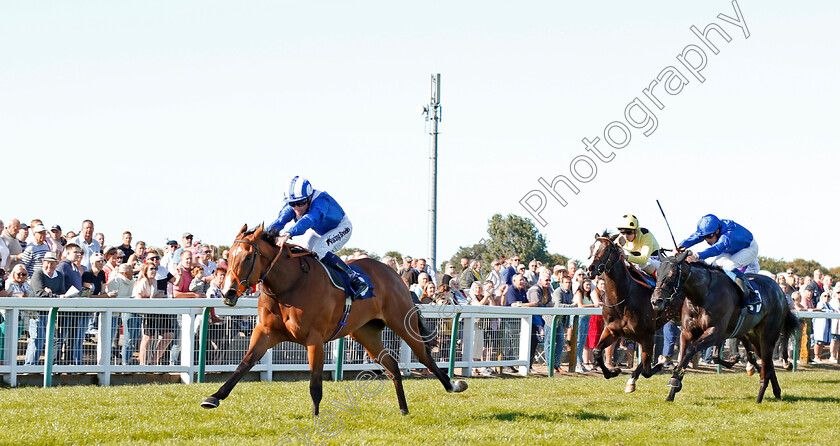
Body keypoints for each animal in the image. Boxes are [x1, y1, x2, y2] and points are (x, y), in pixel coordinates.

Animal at [201, 225, 470, 416]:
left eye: (248, 258)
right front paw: (213, 397)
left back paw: (453, 385)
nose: (228, 293)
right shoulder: (266, 332)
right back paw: (403, 409)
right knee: (392, 365)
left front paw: (315, 417)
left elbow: (315, 383)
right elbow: (244, 364)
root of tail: (392, 273)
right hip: (365, 333)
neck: (289, 284)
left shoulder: (314, 339)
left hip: (402, 322)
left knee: (424, 355)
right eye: (230, 256)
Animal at [584, 235, 684, 392]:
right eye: (591, 247)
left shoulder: (647, 334)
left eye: (607, 249)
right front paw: (613, 371)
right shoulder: (613, 331)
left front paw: (662, 361)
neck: (624, 299)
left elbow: (647, 370)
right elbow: (596, 351)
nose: (589, 269)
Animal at [648, 253, 800, 402]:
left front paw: (674, 382)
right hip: (754, 336)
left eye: (672, 274)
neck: (703, 294)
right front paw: (672, 391)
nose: (656, 301)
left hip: (768, 335)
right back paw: (776, 391)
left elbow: (691, 350)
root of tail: (780, 291)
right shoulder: (687, 332)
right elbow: (684, 356)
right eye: (658, 273)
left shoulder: (715, 331)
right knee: (767, 363)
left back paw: (759, 397)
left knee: (766, 366)